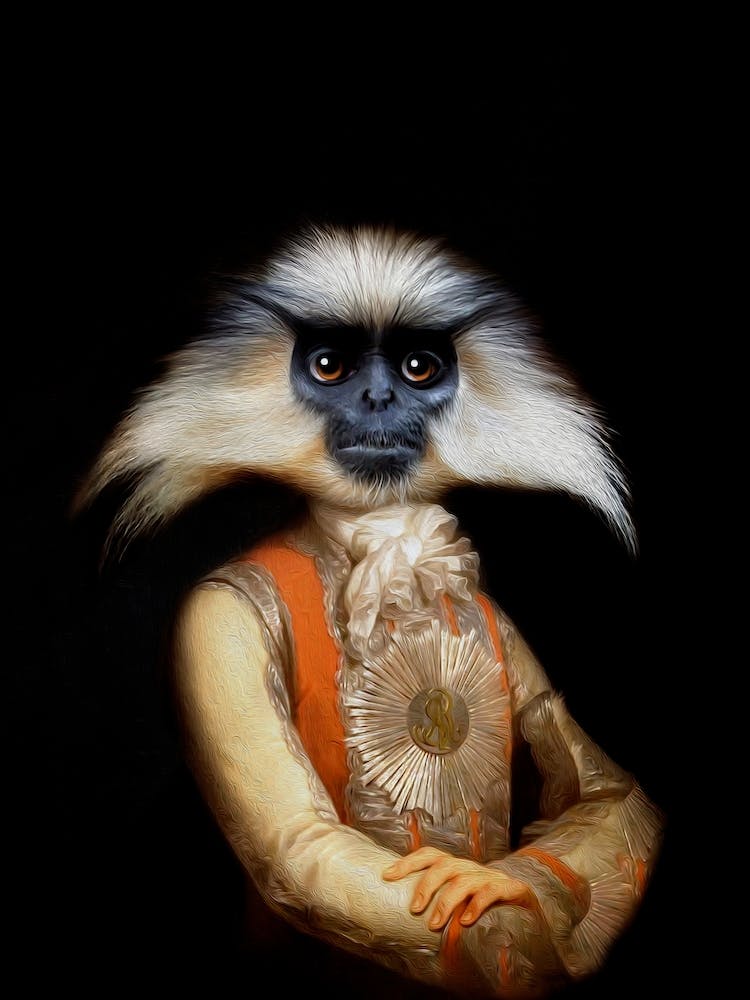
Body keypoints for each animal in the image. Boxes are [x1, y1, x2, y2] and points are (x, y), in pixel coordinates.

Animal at [76, 224, 664, 998]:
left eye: (419, 367)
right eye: (329, 367)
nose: (380, 398)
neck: (388, 544)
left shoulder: (501, 621)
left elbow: (608, 799)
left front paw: (499, 887)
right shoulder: (217, 618)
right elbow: (299, 844)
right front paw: (498, 930)